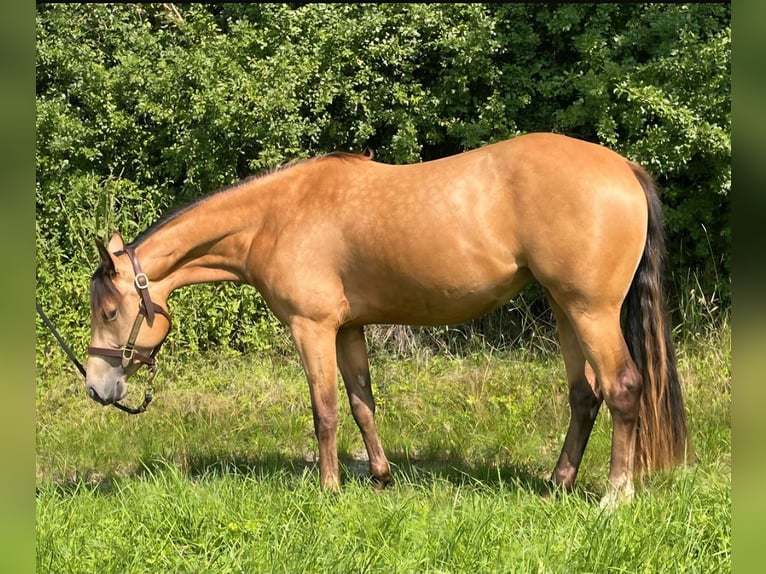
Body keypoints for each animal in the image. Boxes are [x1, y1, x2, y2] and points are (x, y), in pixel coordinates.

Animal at [86, 132, 691, 506]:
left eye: (110, 310)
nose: (96, 387)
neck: (274, 217)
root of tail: (623, 168)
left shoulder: (312, 328)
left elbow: (325, 411)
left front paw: (328, 489)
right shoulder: (349, 328)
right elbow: (362, 403)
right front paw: (380, 477)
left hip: (591, 312)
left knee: (622, 387)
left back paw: (615, 495)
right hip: (566, 310)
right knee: (584, 395)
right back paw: (558, 482)